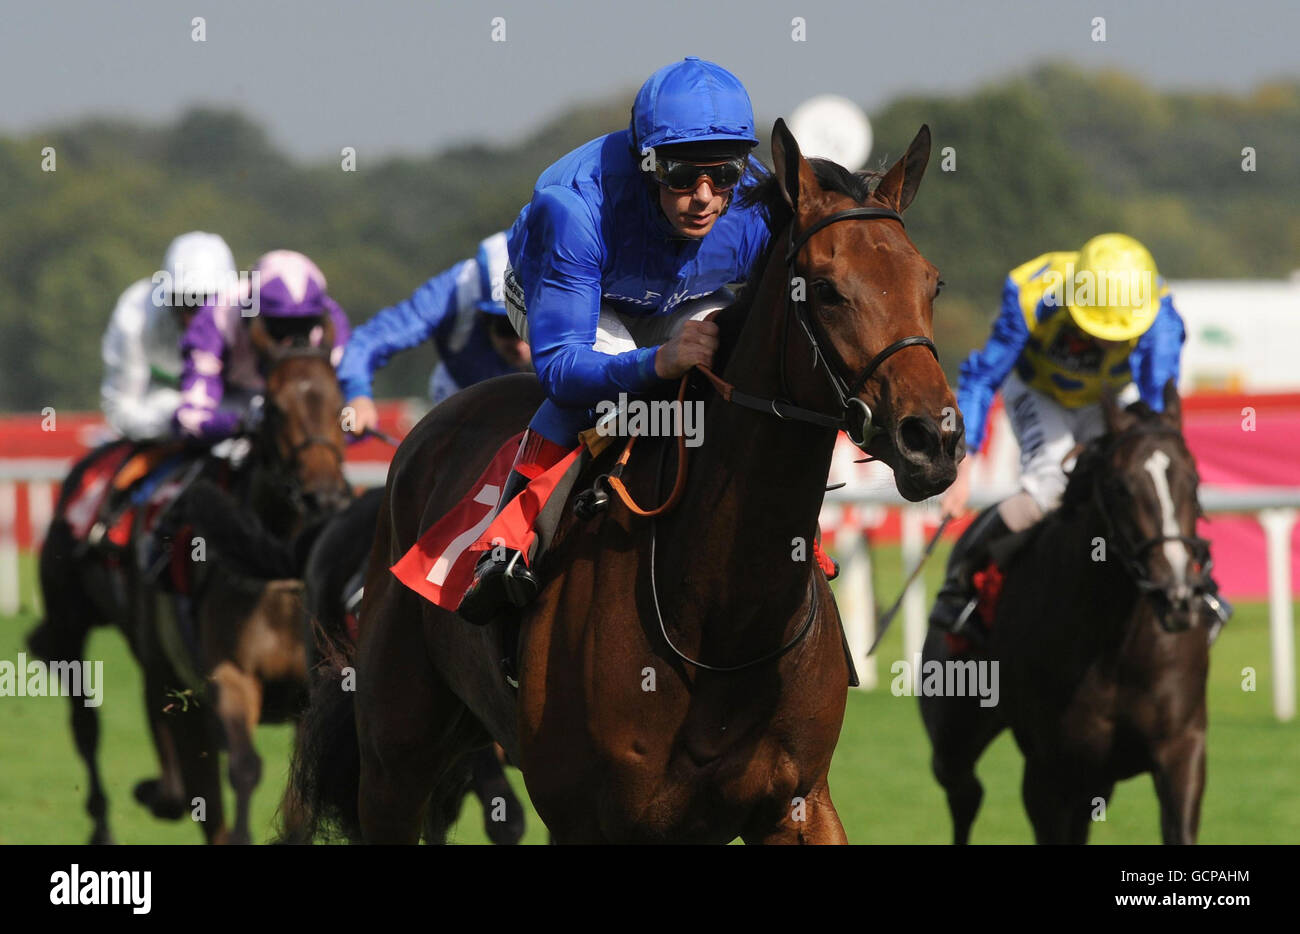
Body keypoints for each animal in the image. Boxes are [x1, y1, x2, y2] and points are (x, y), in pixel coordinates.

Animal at [26, 316, 351, 848]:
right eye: (274, 408)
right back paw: (109, 817)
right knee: (87, 718)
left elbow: (301, 804)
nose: (323, 497)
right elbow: (242, 769)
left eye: (341, 401)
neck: (273, 564)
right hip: (79, 619)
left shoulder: (312, 688)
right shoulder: (226, 675)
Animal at [295, 119, 961, 848]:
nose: (934, 439)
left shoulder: (800, 802)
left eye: (930, 283)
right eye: (826, 287)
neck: (722, 619)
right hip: (394, 759)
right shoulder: (588, 816)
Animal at [920, 385, 1211, 848]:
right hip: (954, 731)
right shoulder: (1048, 770)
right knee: (964, 792)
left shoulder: (1181, 747)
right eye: (1120, 487)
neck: (1115, 648)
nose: (1178, 596)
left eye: (1195, 481)